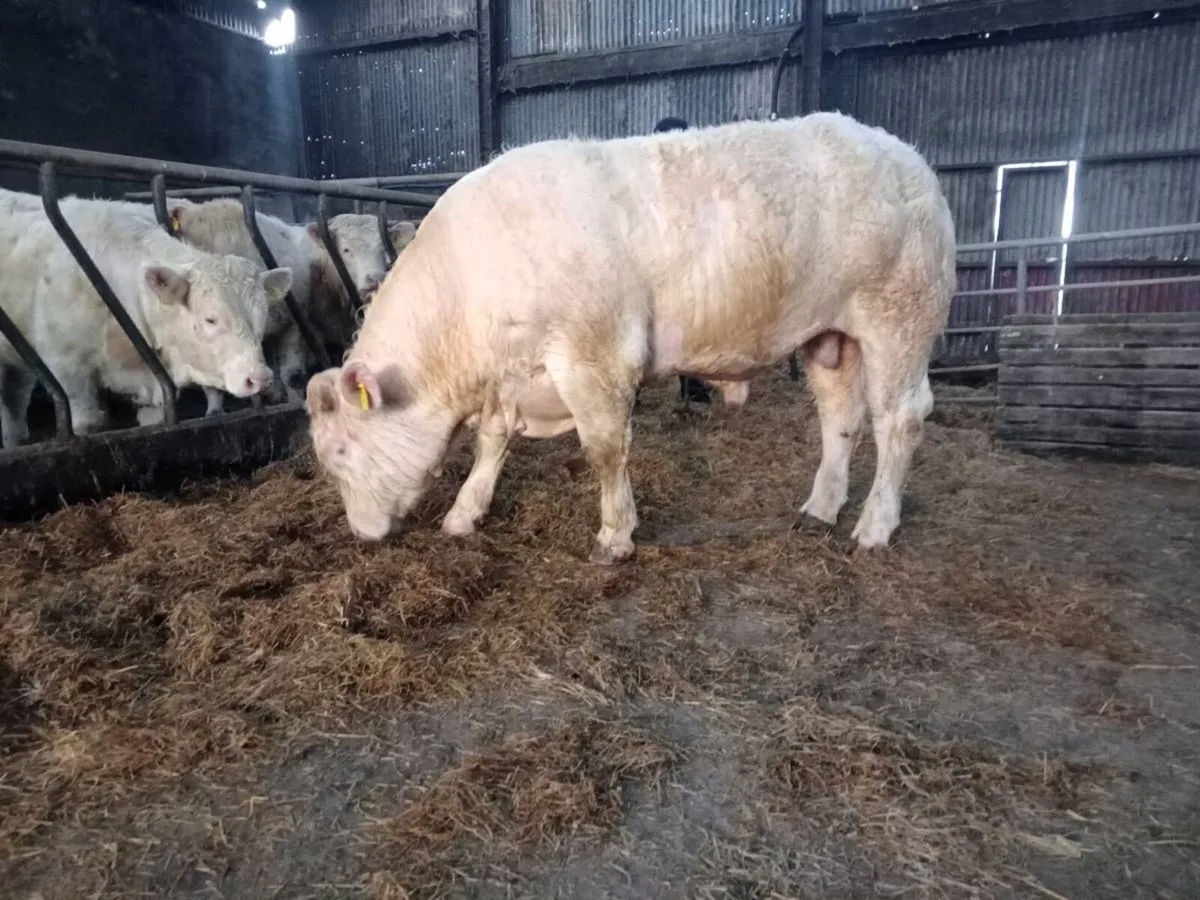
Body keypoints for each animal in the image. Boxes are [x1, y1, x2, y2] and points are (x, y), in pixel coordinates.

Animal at [304, 111, 956, 563]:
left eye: (339, 454)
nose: (361, 533)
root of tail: (906, 156)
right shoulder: (512, 378)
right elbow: (492, 442)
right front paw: (465, 514)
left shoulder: (596, 357)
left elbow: (604, 450)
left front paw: (615, 537)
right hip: (831, 337)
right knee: (840, 418)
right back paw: (820, 509)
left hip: (899, 318)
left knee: (899, 419)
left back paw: (874, 528)